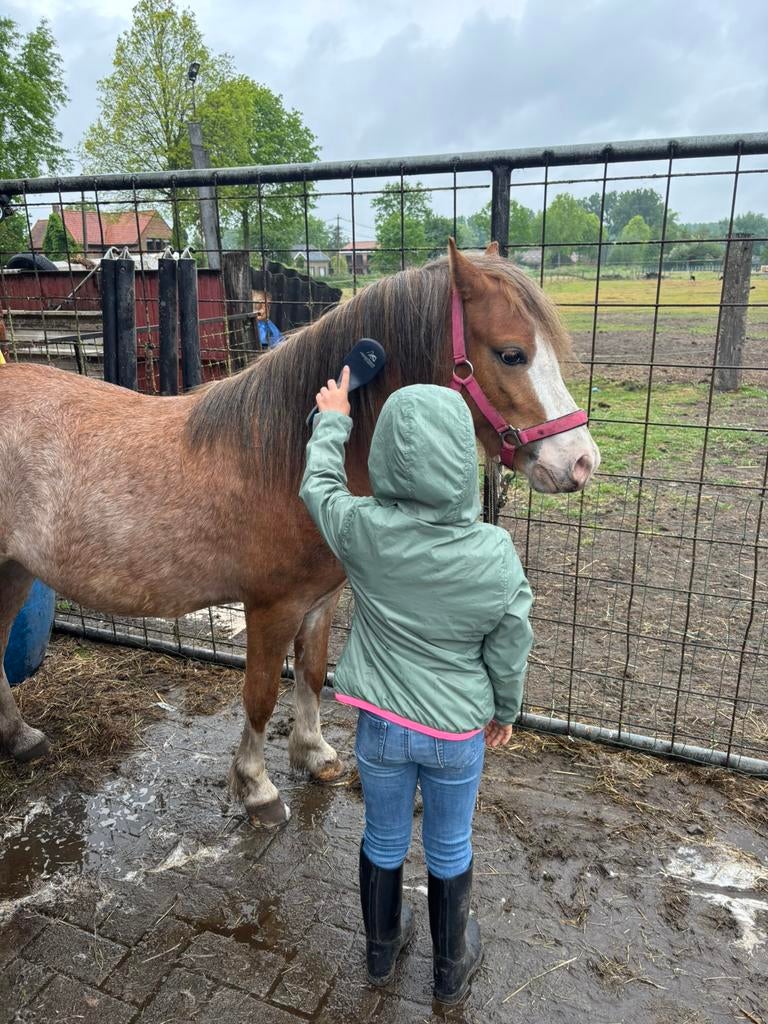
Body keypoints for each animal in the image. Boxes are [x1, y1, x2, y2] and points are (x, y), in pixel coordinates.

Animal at [0, 241, 599, 826]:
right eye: (511, 354)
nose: (580, 462)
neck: (289, 458)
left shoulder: (321, 599)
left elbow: (311, 674)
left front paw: (314, 756)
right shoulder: (272, 606)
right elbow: (262, 694)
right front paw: (256, 787)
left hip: (15, 571)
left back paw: (20, 737)